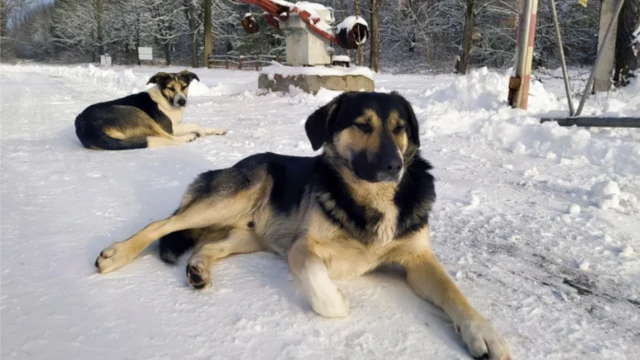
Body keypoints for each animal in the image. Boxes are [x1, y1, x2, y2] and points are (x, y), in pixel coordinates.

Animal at [74, 70, 228, 150]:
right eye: (170, 88)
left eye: (184, 86)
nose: (182, 101)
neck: (165, 98)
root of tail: (86, 127)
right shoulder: (170, 127)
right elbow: (196, 125)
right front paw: (200, 132)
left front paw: (217, 130)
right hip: (138, 114)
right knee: (169, 138)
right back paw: (189, 137)